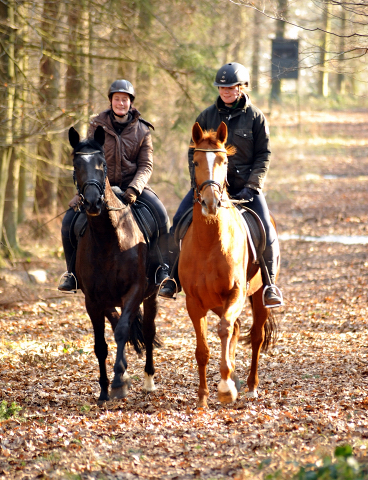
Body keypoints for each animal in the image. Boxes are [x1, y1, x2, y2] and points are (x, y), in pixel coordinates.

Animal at [69, 125, 160, 404]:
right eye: (76, 164)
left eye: (102, 164)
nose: (92, 203)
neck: (108, 238)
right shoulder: (92, 300)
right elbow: (101, 344)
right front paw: (103, 390)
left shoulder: (135, 291)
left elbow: (122, 332)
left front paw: (120, 381)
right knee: (120, 322)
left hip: (152, 294)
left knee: (147, 330)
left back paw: (148, 380)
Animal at [179, 122, 278, 406]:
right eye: (196, 161)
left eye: (223, 161)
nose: (211, 203)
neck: (209, 243)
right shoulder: (195, 302)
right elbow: (202, 349)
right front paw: (203, 397)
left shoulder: (235, 293)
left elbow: (223, 329)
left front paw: (225, 388)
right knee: (236, 328)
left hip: (258, 296)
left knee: (254, 336)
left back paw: (250, 386)